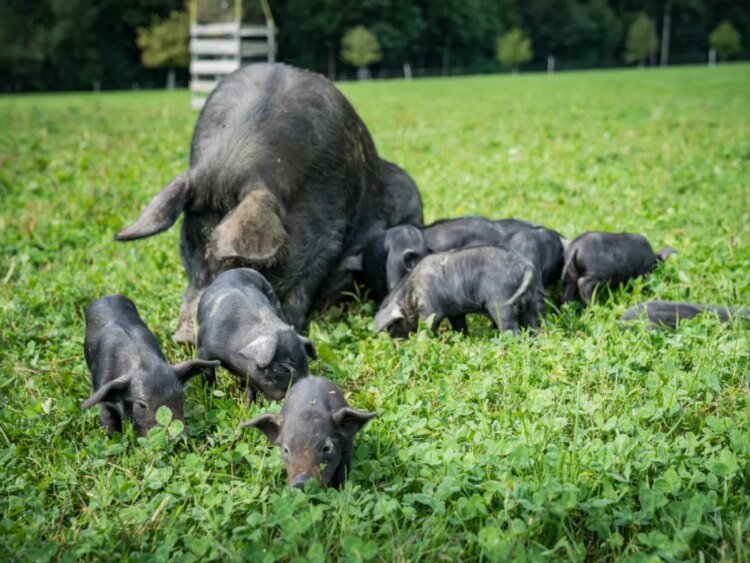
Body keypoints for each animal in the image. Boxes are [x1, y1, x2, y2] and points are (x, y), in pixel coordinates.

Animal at [82, 295, 219, 436]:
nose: (177, 437)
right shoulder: (104, 394)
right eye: (141, 405)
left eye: (180, 397)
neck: (143, 362)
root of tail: (107, 296)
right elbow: (109, 423)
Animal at [196, 268, 316, 403]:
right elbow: (208, 377)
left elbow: (249, 389)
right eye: (286, 368)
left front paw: (248, 404)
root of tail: (237, 269)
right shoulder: (203, 350)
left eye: (306, 366)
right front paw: (208, 398)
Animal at [374, 246, 545, 337]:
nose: (397, 343)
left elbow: (426, 328)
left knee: (511, 329)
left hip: (501, 304)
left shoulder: (431, 310)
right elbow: (459, 326)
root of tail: (525, 266)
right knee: (533, 325)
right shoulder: (455, 312)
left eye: (390, 326)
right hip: (530, 302)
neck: (408, 294)